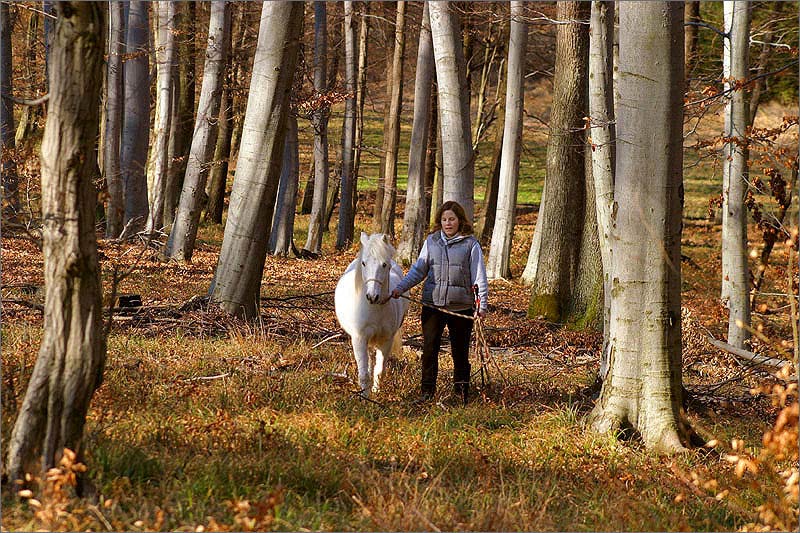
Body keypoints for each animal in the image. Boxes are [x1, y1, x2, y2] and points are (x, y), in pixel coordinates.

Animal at [332, 232, 406, 394]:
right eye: (364, 263)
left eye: (384, 264)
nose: (372, 296)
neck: (375, 309)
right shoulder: (359, 339)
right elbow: (364, 374)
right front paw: (365, 397)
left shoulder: (386, 341)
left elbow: (379, 371)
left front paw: (376, 393)